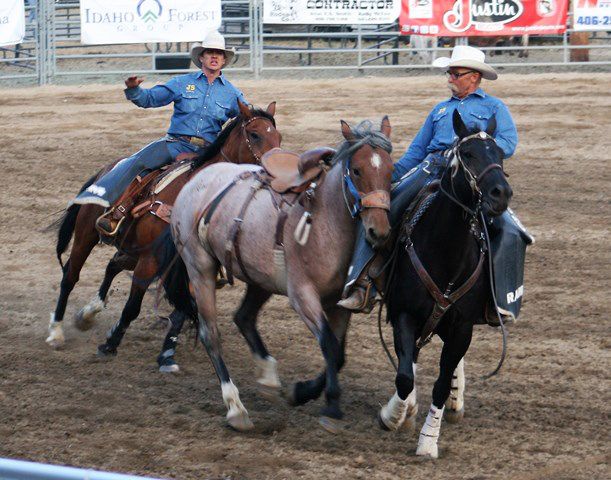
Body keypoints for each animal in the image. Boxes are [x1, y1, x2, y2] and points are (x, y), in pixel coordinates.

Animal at [47, 101, 282, 370]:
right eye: (255, 135)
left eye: (278, 137)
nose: (276, 175)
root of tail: (105, 170)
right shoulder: (152, 259)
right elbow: (133, 307)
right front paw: (110, 344)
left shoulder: (187, 265)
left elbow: (181, 311)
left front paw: (167, 354)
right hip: (87, 234)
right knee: (70, 275)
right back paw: (56, 332)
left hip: (131, 249)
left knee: (112, 265)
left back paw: (88, 313)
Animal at [158, 117, 394, 432]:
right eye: (356, 170)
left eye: (391, 170)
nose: (378, 231)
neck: (325, 222)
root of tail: (194, 183)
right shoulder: (303, 296)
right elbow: (329, 344)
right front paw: (330, 406)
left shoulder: (339, 304)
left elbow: (339, 352)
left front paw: (303, 392)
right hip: (200, 269)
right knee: (211, 333)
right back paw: (235, 407)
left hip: (260, 279)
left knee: (243, 317)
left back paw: (269, 378)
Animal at [376, 110, 512, 460]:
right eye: (468, 153)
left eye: (499, 153)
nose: (501, 193)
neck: (445, 252)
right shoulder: (404, 315)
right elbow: (405, 376)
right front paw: (394, 415)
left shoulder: (462, 326)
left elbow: (439, 382)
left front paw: (428, 441)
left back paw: (454, 400)